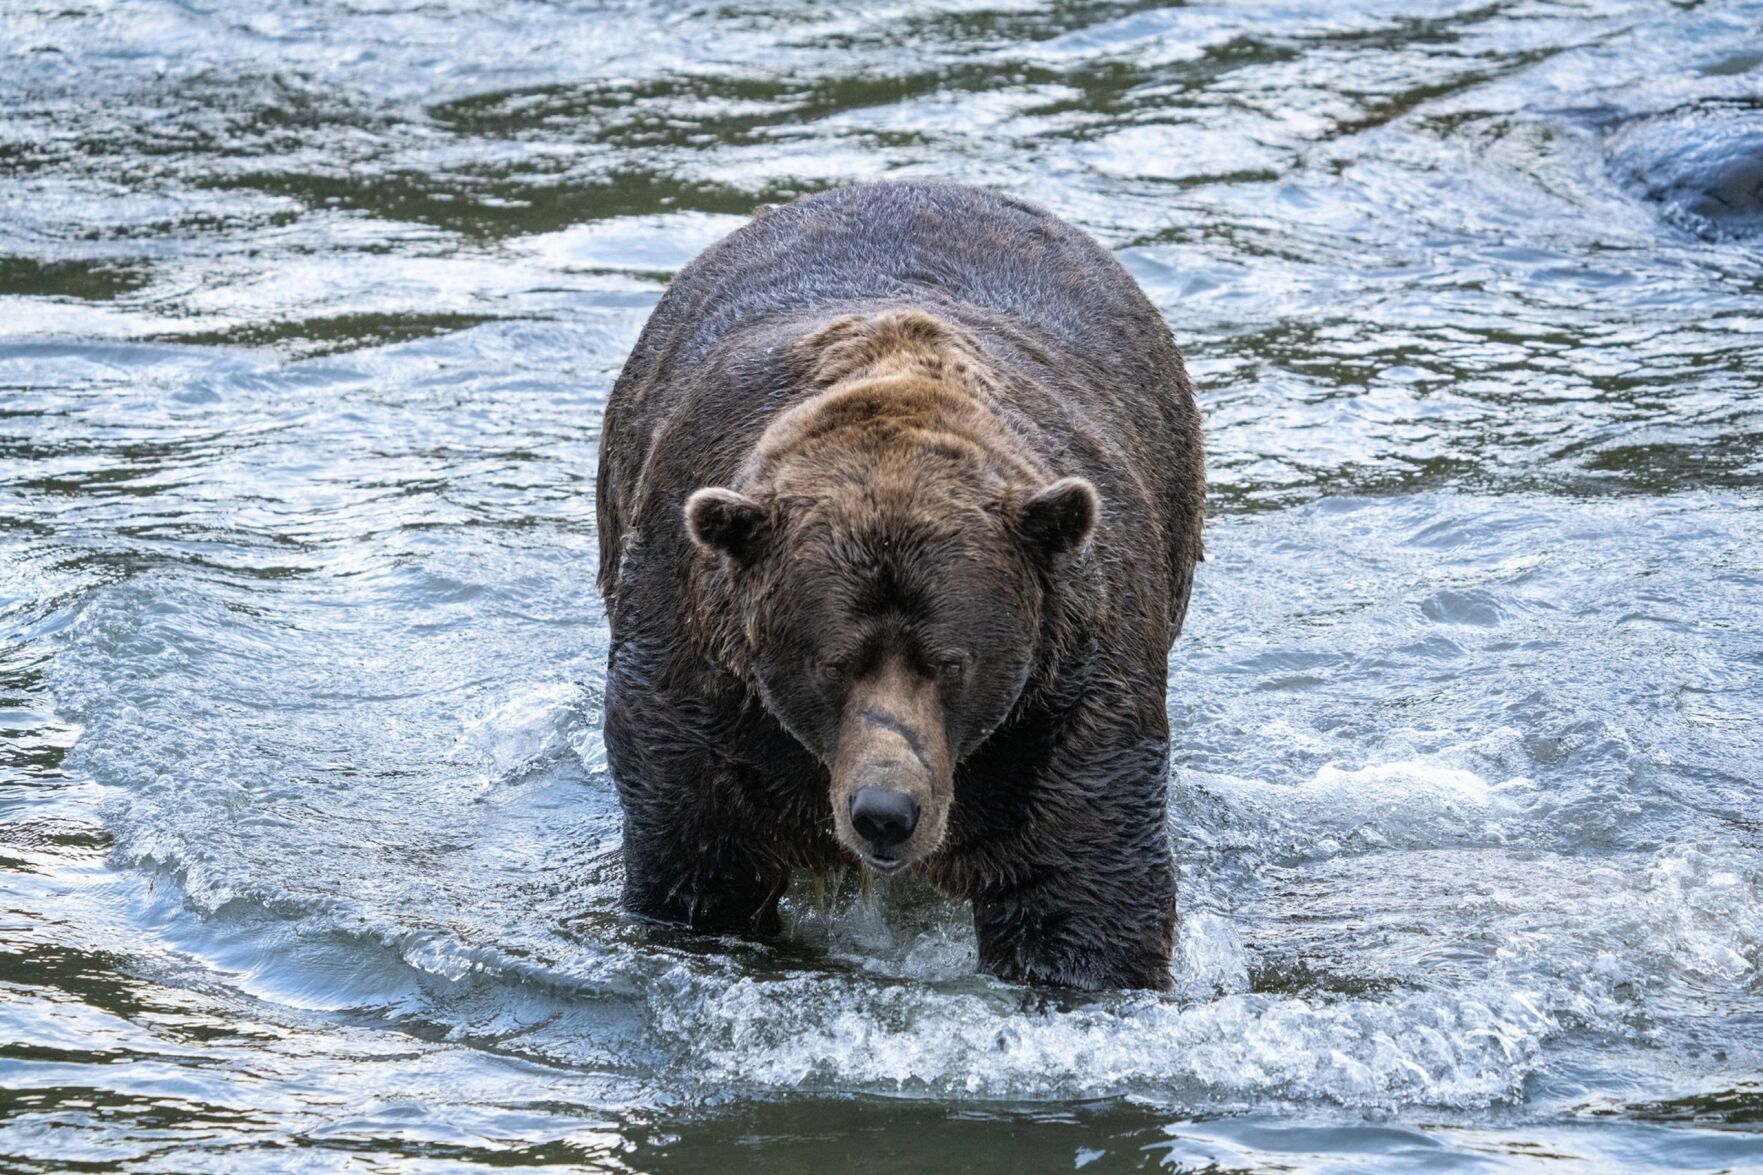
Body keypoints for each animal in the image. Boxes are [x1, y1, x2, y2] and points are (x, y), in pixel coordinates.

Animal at [595, 181, 1204, 990]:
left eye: (950, 662)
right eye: (831, 661)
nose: (885, 812)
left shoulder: (1066, 686)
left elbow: (1078, 885)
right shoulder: (699, 670)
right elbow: (702, 858)